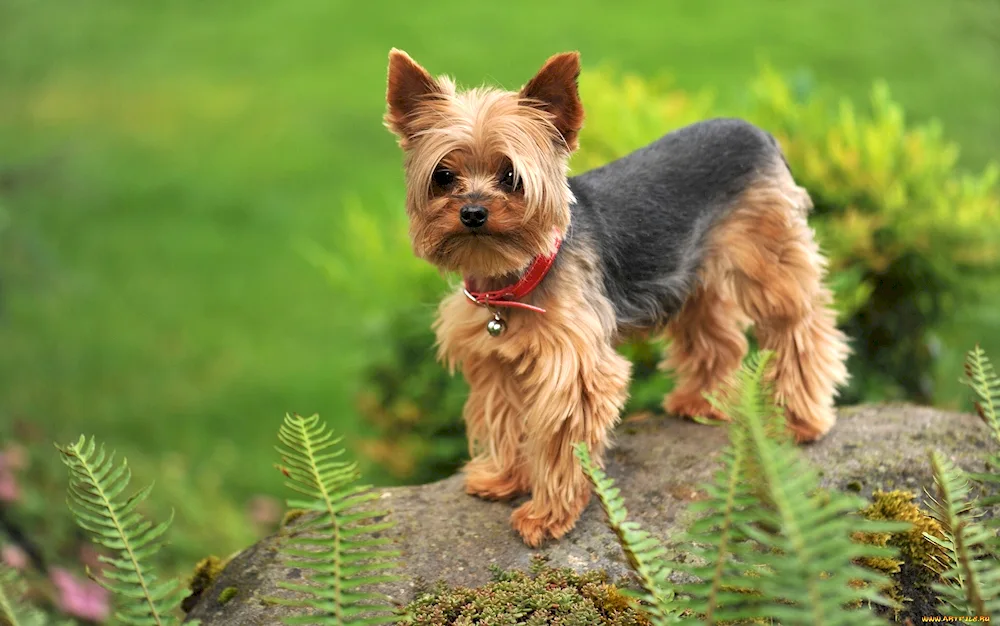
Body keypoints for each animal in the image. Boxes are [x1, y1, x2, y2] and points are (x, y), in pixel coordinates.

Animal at [382, 50, 852, 544]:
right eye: (443, 175)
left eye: (511, 176)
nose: (472, 212)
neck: (513, 275)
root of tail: (760, 132)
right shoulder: (493, 361)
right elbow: (503, 419)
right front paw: (504, 478)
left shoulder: (573, 369)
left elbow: (561, 441)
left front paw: (546, 515)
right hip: (691, 270)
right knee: (715, 331)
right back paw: (701, 402)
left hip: (768, 258)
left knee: (800, 325)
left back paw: (801, 420)